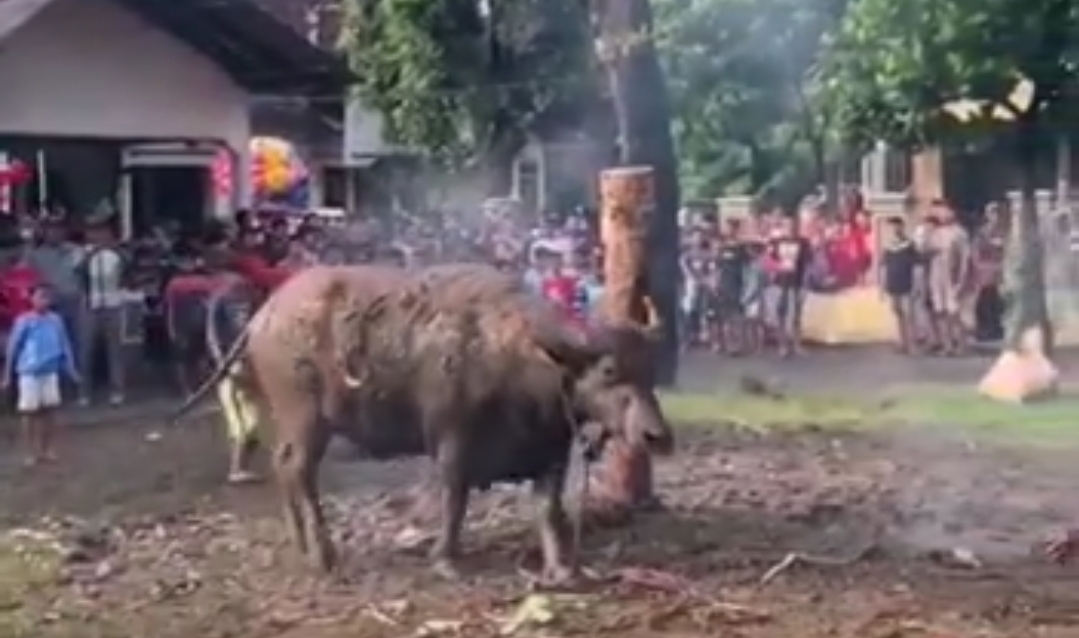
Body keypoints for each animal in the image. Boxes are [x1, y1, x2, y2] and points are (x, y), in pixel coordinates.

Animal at [176, 262, 668, 582]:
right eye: (609, 371)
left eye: (649, 369)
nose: (656, 436)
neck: (522, 358)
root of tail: (264, 313)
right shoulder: (452, 439)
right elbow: (455, 499)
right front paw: (445, 559)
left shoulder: (549, 452)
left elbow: (549, 511)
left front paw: (562, 568)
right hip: (306, 417)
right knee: (298, 469)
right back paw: (325, 556)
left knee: (283, 464)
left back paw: (301, 543)